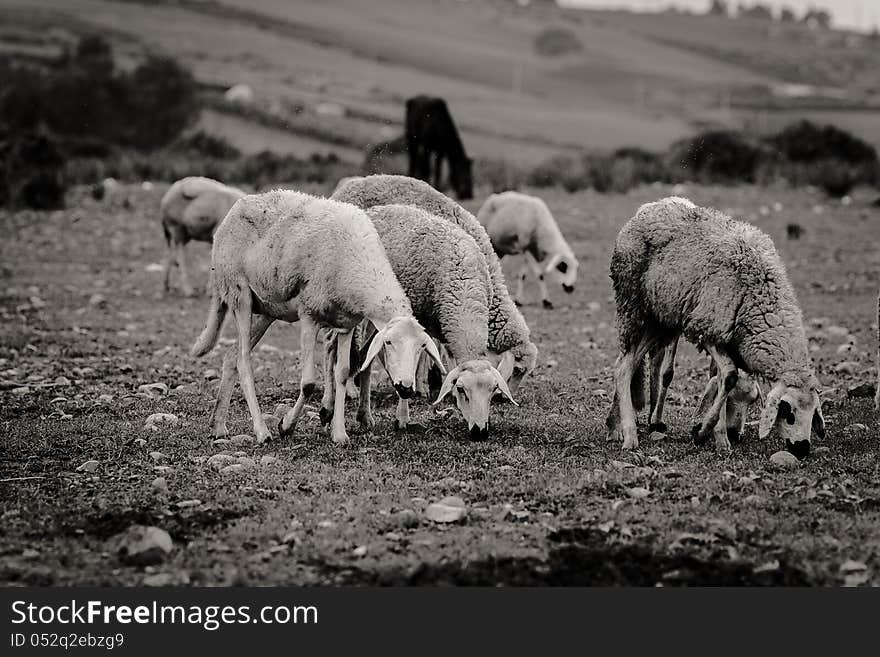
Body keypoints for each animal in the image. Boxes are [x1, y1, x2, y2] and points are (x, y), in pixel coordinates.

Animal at [189, 190, 444, 446]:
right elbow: (309, 382)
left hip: (267, 308)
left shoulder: (346, 323)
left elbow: (343, 373)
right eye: (388, 342)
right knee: (243, 360)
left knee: (231, 356)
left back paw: (218, 425)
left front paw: (339, 433)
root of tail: (239, 205)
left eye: (422, 347)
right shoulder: (309, 315)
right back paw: (262, 431)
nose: (406, 388)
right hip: (239, 293)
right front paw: (286, 425)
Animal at [604, 197, 824, 458]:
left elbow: (719, 380)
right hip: (633, 305)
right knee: (625, 366)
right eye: (787, 411)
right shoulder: (708, 328)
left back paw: (618, 426)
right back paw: (628, 434)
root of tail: (651, 207)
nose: (802, 449)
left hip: (660, 320)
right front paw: (705, 431)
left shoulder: (727, 339)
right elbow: (728, 376)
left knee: (626, 364)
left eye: (813, 411)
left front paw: (718, 437)